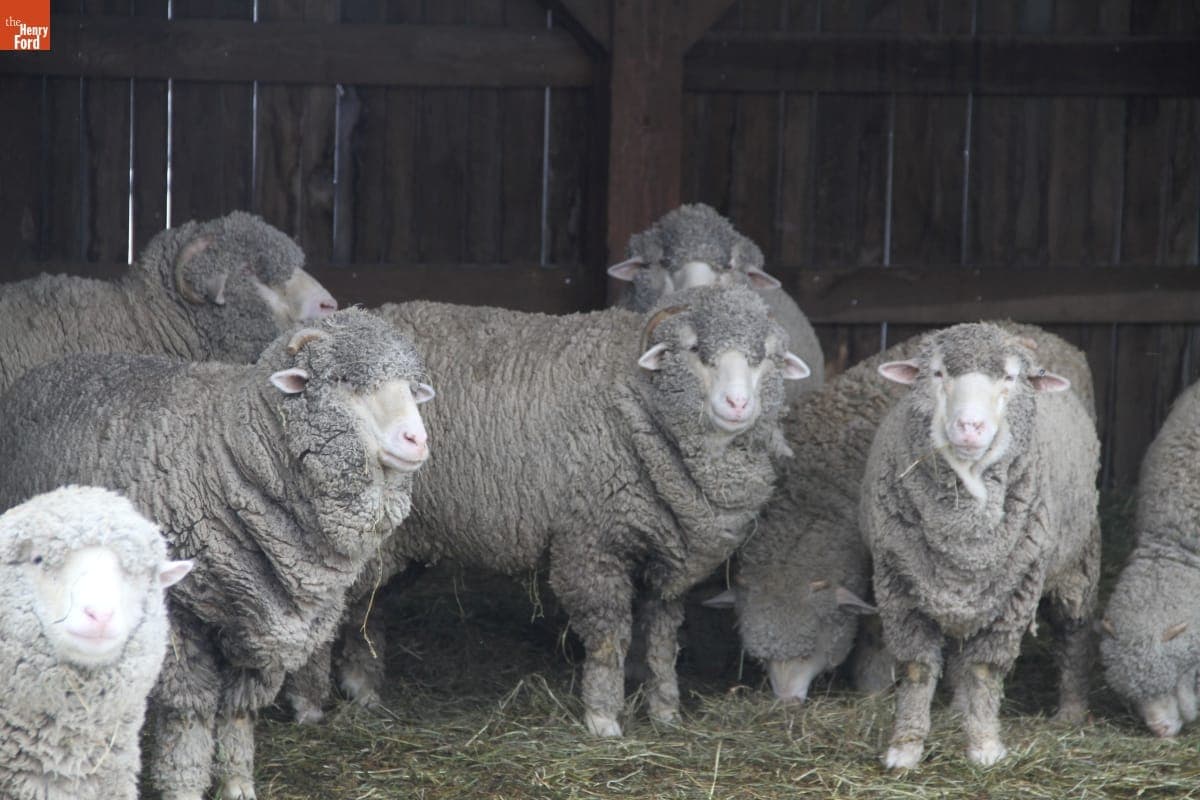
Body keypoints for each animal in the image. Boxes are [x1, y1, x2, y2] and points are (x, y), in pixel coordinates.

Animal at [310, 285, 809, 738]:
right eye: (694, 351)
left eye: (765, 357)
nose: (738, 405)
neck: (637, 400)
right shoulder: (591, 545)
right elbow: (609, 638)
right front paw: (604, 719)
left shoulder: (667, 562)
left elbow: (664, 642)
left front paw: (666, 711)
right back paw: (314, 703)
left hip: (400, 542)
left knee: (366, 608)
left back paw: (363, 689)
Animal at [706, 322, 1097, 704]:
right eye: (760, 658)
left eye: (810, 650)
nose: (786, 704)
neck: (812, 492)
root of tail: (1045, 334)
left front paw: (873, 686)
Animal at [860, 322, 1100, 770]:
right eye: (937, 373)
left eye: (1010, 377)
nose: (969, 426)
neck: (964, 534)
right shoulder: (897, 585)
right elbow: (917, 669)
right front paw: (905, 747)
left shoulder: (1016, 592)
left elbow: (984, 671)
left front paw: (985, 746)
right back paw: (958, 708)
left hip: (1078, 561)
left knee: (1074, 631)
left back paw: (1072, 711)